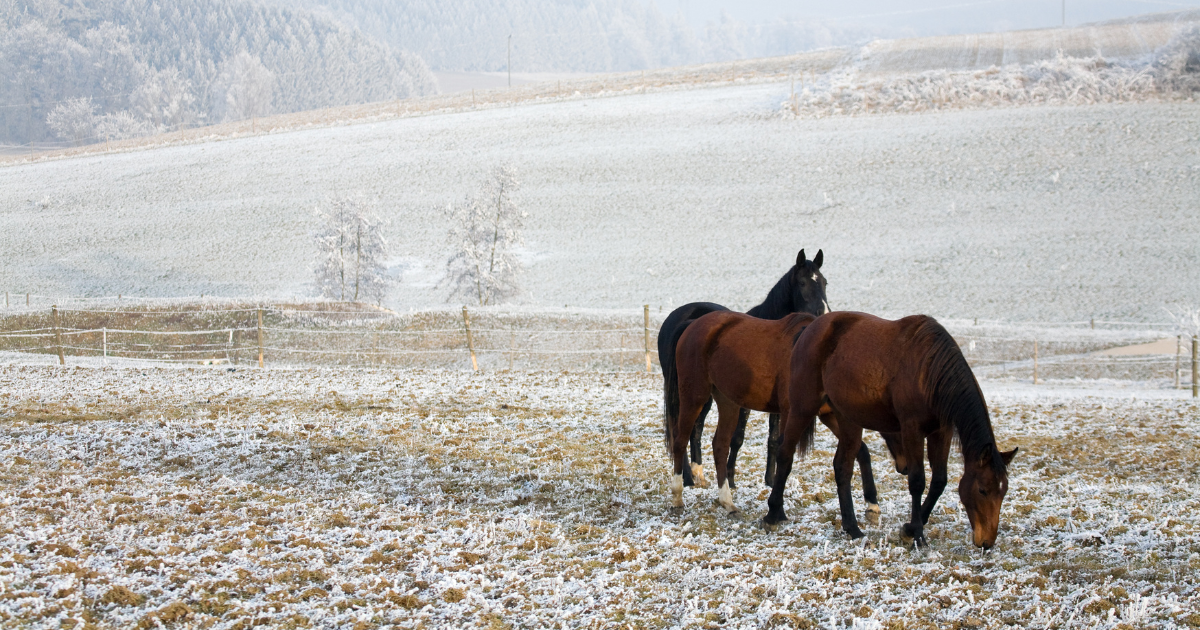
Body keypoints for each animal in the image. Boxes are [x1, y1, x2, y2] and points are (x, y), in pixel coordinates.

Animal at [660, 249, 870, 491]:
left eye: (824, 282)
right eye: (802, 282)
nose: (824, 312)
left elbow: (774, 440)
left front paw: (770, 480)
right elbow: (737, 437)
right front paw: (731, 479)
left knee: (696, 428)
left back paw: (698, 473)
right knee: (680, 429)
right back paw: (687, 477)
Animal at [667, 310, 900, 513]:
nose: (903, 466)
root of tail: (693, 324)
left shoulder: (829, 415)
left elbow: (861, 450)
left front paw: (872, 504)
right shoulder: (792, 413)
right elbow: (784, 452)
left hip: (728, 401)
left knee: (720, 446)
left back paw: (727, 502)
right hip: (694, 396)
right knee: (680, 440)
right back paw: (677, 497)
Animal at [764, 312, 1018, 549]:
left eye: (1003, 491)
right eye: (982, 490)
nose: (987, 542)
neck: (929, 371)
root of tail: (808, 330)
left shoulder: (941, 432)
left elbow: (939, 481)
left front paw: (911, 527)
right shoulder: (912, 430)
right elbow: (917, 481)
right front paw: (916, 534)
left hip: (847, 420)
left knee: (842, 468)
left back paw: (852, 528)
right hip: (802, 407)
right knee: (785, 453)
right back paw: (773, 514)